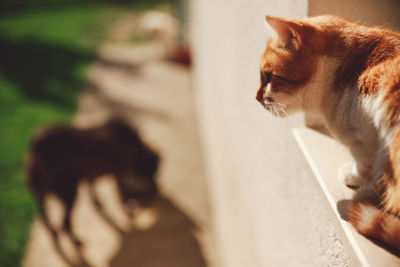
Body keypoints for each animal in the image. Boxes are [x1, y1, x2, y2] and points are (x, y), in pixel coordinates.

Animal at [24, 119, 159, 247]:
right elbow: (120, 195)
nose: (155, 187)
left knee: (45, 217)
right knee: (65, 223)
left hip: (42, 194)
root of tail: (36, 147)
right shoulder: (118, 173)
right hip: (70, 192)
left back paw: (53, 233)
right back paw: (76, 241)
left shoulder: (91, 176)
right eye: (152, 167)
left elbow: (94, 193)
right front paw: (127, 208)